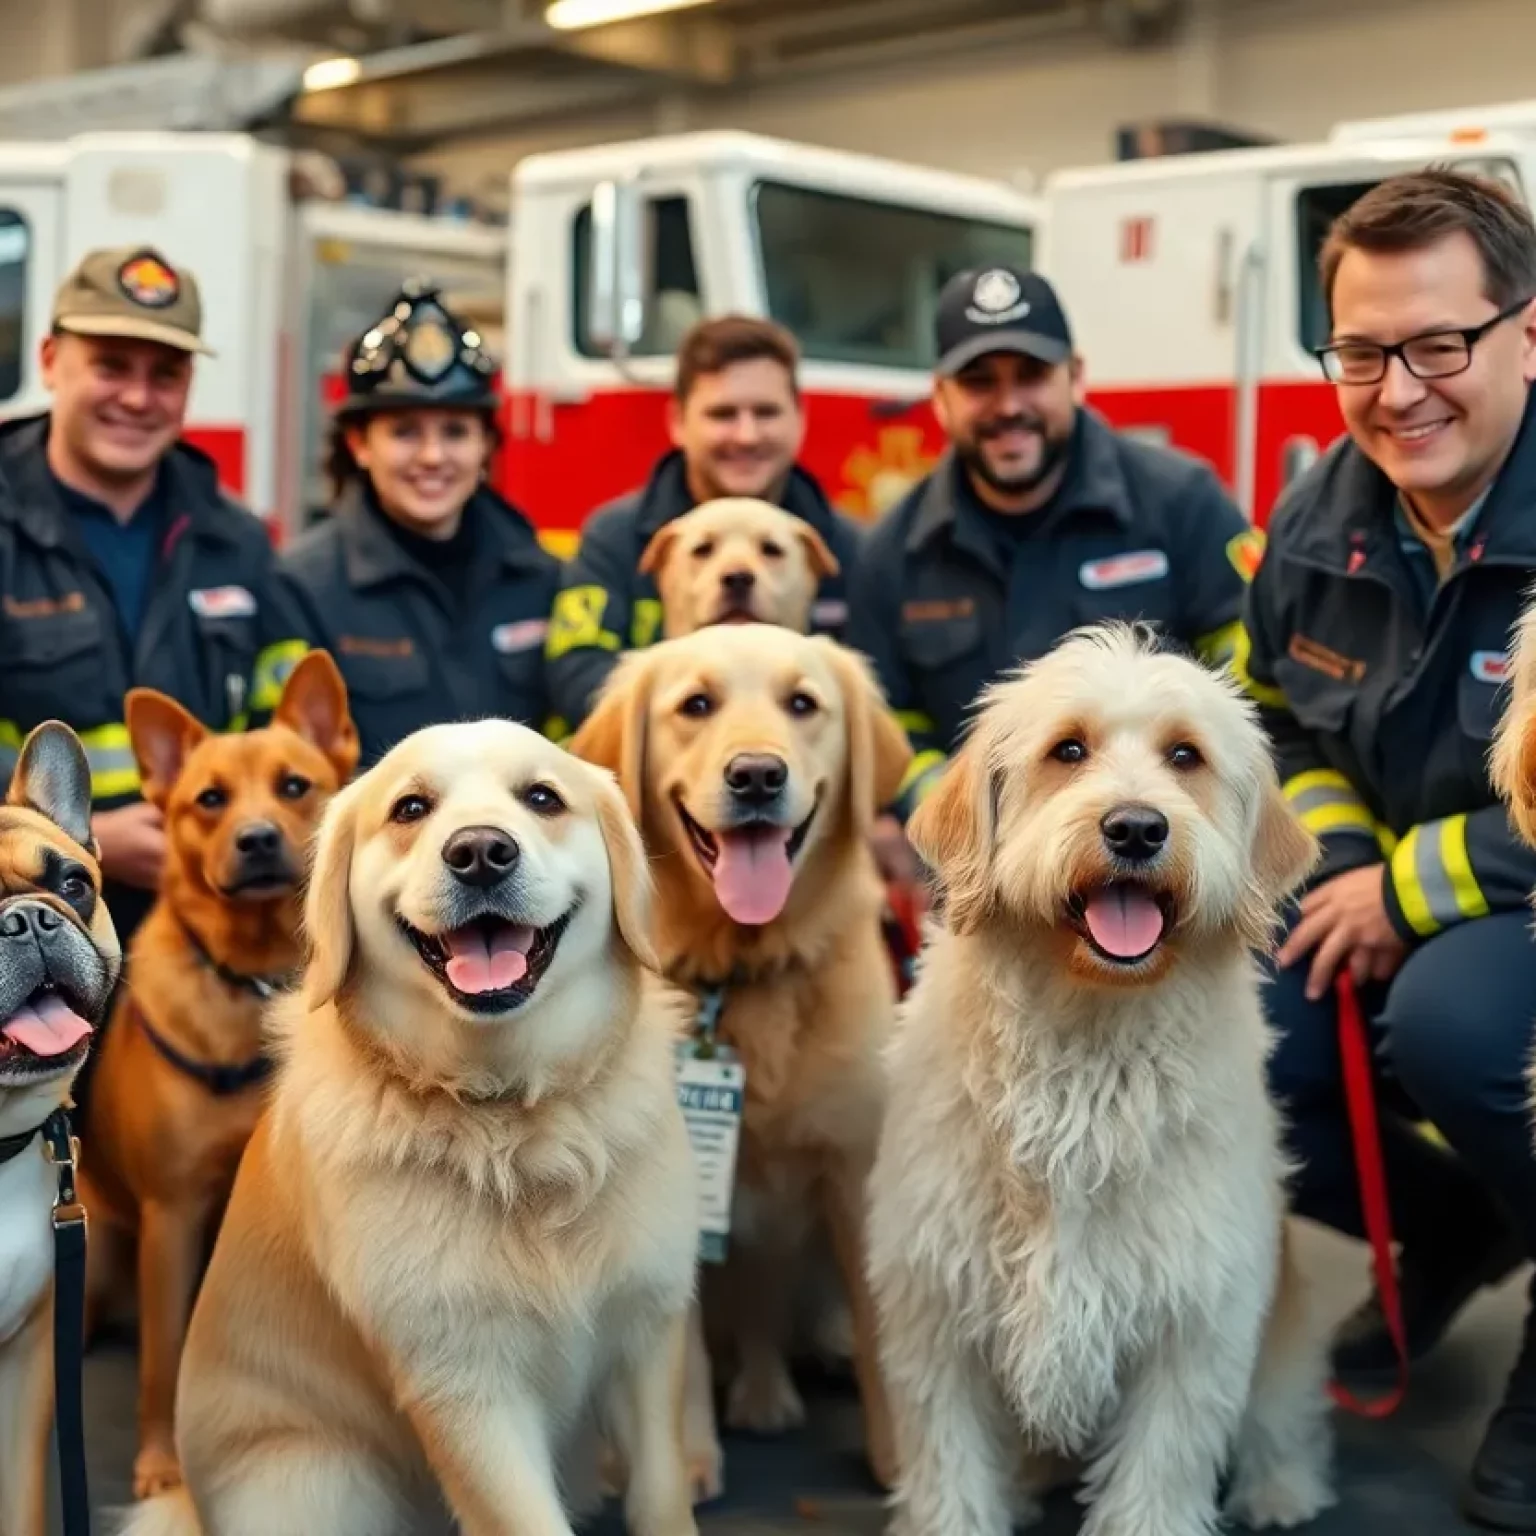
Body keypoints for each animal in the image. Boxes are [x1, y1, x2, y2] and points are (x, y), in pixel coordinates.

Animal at [77, 651, 356, 1499]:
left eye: (294, 785)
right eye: (209, 800)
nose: (257, 839)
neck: (256, 976)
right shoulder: (172, 1217)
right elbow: (163, 1360)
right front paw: (163, 1467)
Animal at [574, 620, 909, 1486]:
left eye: (803, 703)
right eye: (697, 705)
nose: (757, 775)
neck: (744, 970)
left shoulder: (857, 1167)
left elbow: (884, 1332)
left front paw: (906, 1462)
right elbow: (679, 1347)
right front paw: (686, 1459)